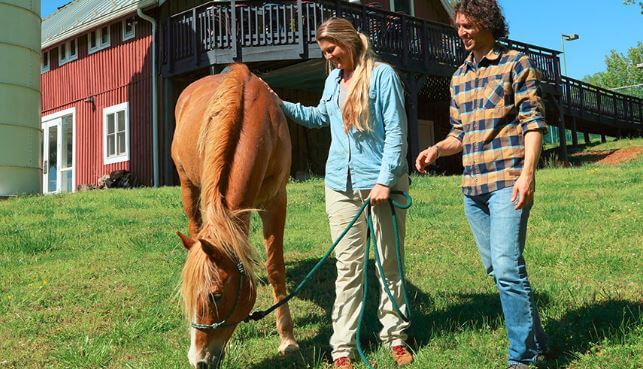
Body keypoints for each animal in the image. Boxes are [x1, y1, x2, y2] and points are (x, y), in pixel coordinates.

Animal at [172, 64, 300, 366]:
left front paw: (288, 339)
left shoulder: (275, 202)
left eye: (216, 296)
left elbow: (275, 268)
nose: (198, 361)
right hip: (188, 187)